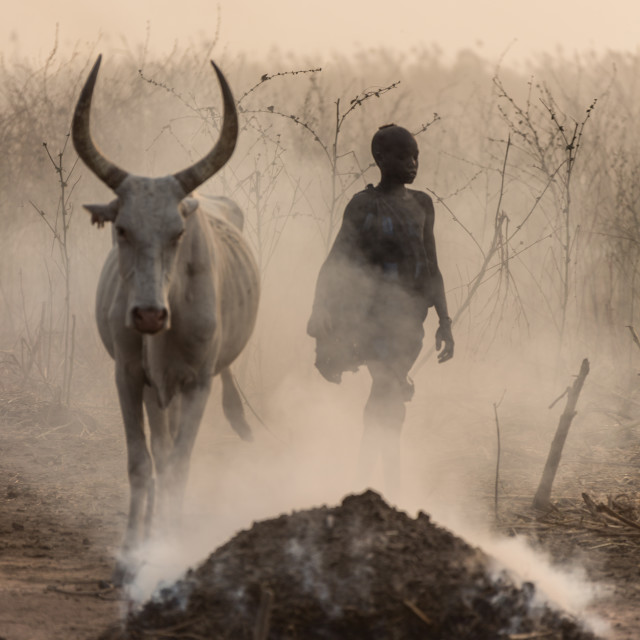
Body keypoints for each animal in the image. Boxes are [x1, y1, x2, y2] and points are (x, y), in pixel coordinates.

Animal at [71, 56, 258, 584]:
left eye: (178, 231)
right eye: (121, 228)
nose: (149, 315)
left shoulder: (198, 383)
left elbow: (179, 466)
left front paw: (172, 550)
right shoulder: (129, 376)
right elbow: (141, 462)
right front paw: (132, 551)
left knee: (172, 451)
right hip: (157, 390)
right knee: (158, 445)